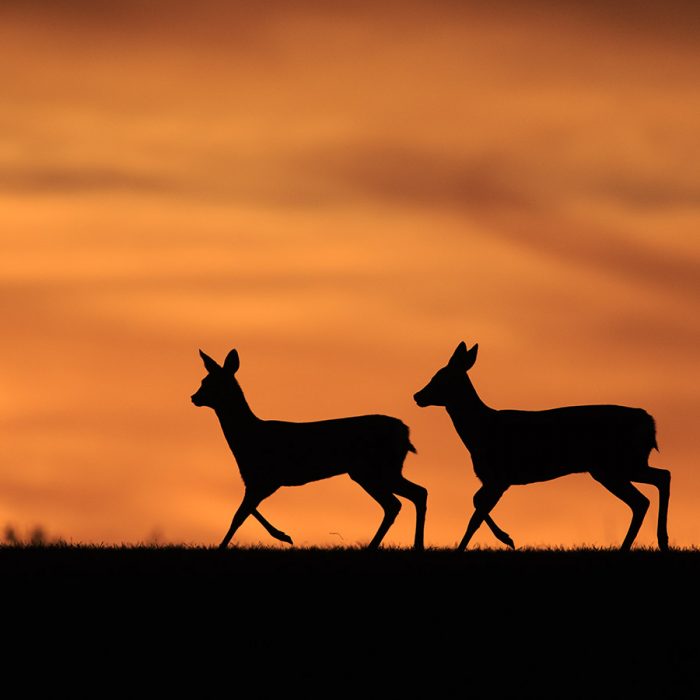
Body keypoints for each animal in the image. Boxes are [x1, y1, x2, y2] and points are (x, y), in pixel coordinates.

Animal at [190, 348, 426, 548]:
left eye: (212, 383)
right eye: (204, 380)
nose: (194, 397)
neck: (248, 438)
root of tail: (405, 432)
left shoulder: (266, 478)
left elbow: (239, 515)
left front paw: (223, 547)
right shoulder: (256, 480)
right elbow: (247, 510)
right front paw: (283, 535)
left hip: (373, 469)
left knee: (397, 502)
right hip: (378, 470)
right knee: (413, 495)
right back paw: (409, 545)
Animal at [412, 342, 668, 548]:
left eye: (440, 378)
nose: (417, 396)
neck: (480, 432)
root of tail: (649, 423)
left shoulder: (500, 477)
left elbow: (475, 515)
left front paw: (500, 540)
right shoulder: (491, 479)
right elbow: (476, 503)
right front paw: (505, 538)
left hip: (615, 464)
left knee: (653, 487)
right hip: (615, 466)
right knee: (648, 492)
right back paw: (647, 543)